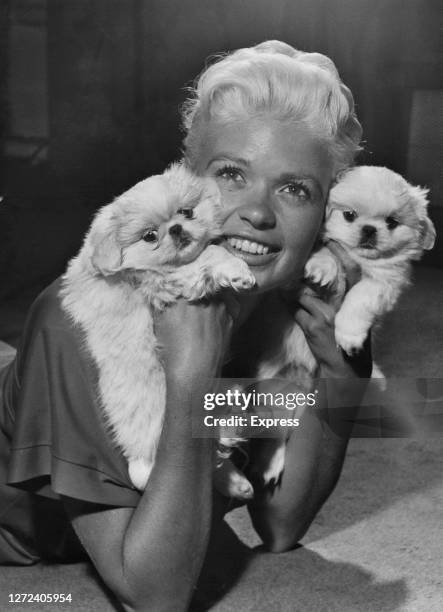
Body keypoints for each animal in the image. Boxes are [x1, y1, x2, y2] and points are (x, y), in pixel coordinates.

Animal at [60, 163, 255, 488]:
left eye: (187, 212)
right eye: (150, 236)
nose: (176, 228)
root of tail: (140, 462)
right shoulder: (164, 279)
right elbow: (211, 254)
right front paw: (237, 270)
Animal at [255, 165, 436, 486]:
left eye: (392, 222)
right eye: (349, 215)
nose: (369, 230)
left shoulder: (384, 282)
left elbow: (359, 297)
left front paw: (349, 335)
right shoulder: (292, 279)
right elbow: (326, 252)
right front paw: (323, 268)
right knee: (275, 434)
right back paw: (270, 465)